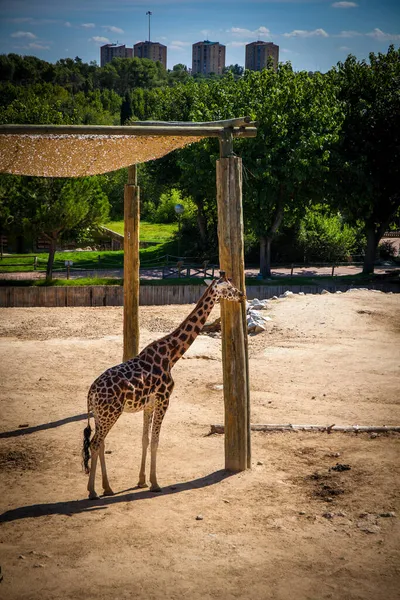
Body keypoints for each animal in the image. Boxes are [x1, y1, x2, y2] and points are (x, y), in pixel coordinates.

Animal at [82, 274, 244, 500]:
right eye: (229, 287)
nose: (241, 295)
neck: (171, 354)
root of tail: (91, 393)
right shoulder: (164, 400)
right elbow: (156, 441)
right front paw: (155, 483)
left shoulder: (149, 404)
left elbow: (145, 439)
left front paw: (141, 480)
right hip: (110, 413)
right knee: (96, 443)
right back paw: (92, 491)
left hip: (101, 415)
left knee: (101, 442)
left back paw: (107, 487)